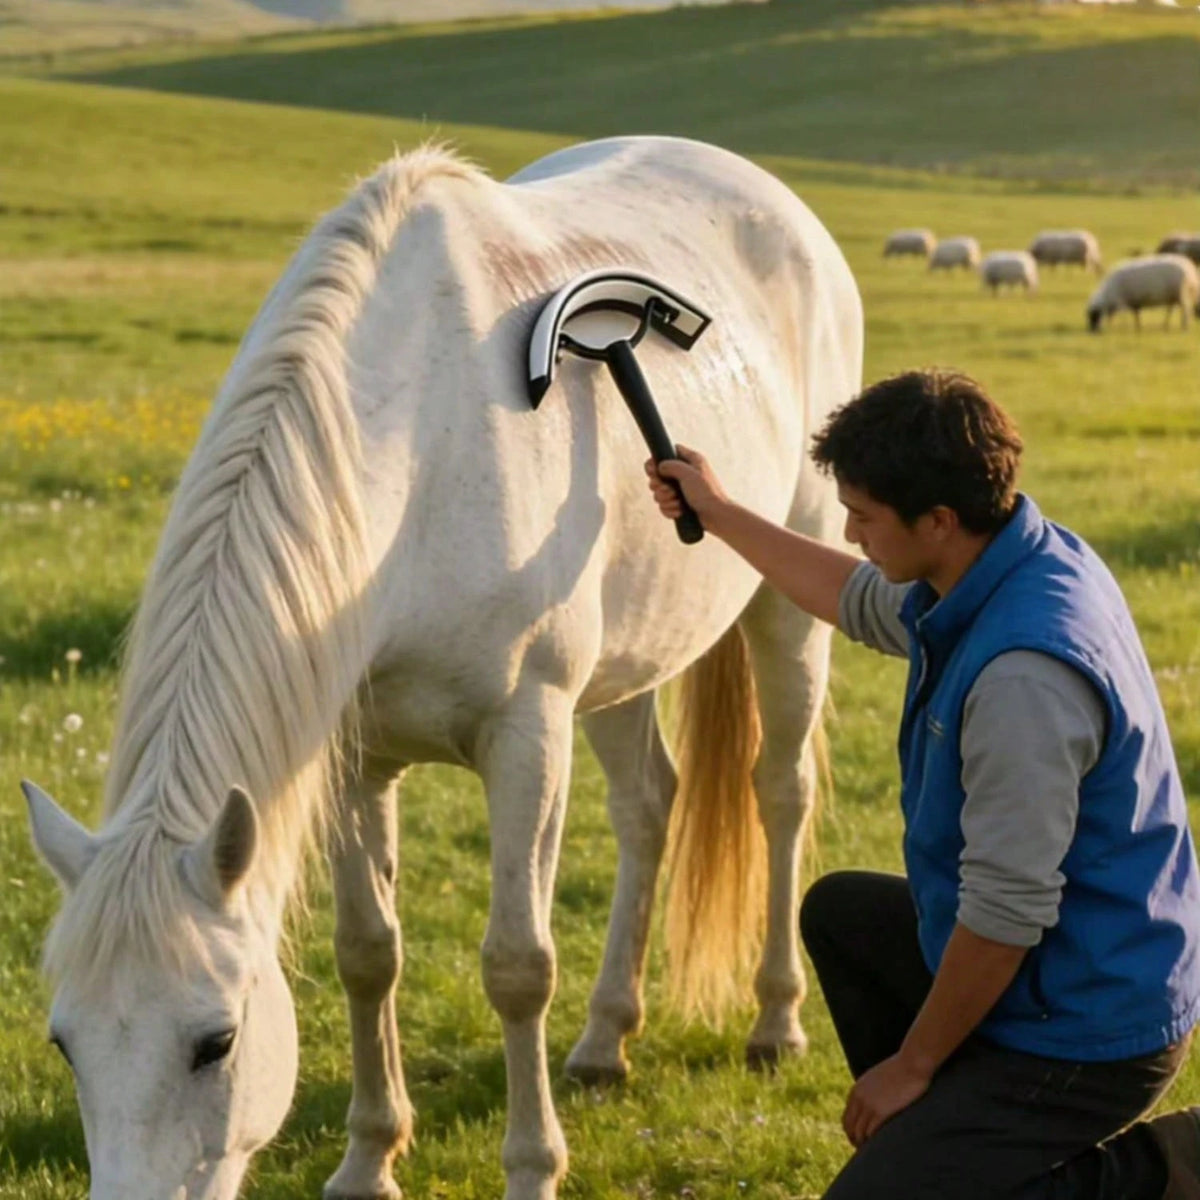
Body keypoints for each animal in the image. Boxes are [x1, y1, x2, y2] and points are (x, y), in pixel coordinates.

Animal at [24, 135, 863, 1200]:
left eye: (216, 1043)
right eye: (64, 1043)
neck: (413, 448)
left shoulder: (526, 737)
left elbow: (517, 965)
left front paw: (531, 1168)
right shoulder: (349, 754)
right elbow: (366, 952)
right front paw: (369, 1159)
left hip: (788, 605)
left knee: (779, 791)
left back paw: (774, 1022)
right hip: (625, 662)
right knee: (647, 805)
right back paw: (604, 1041)